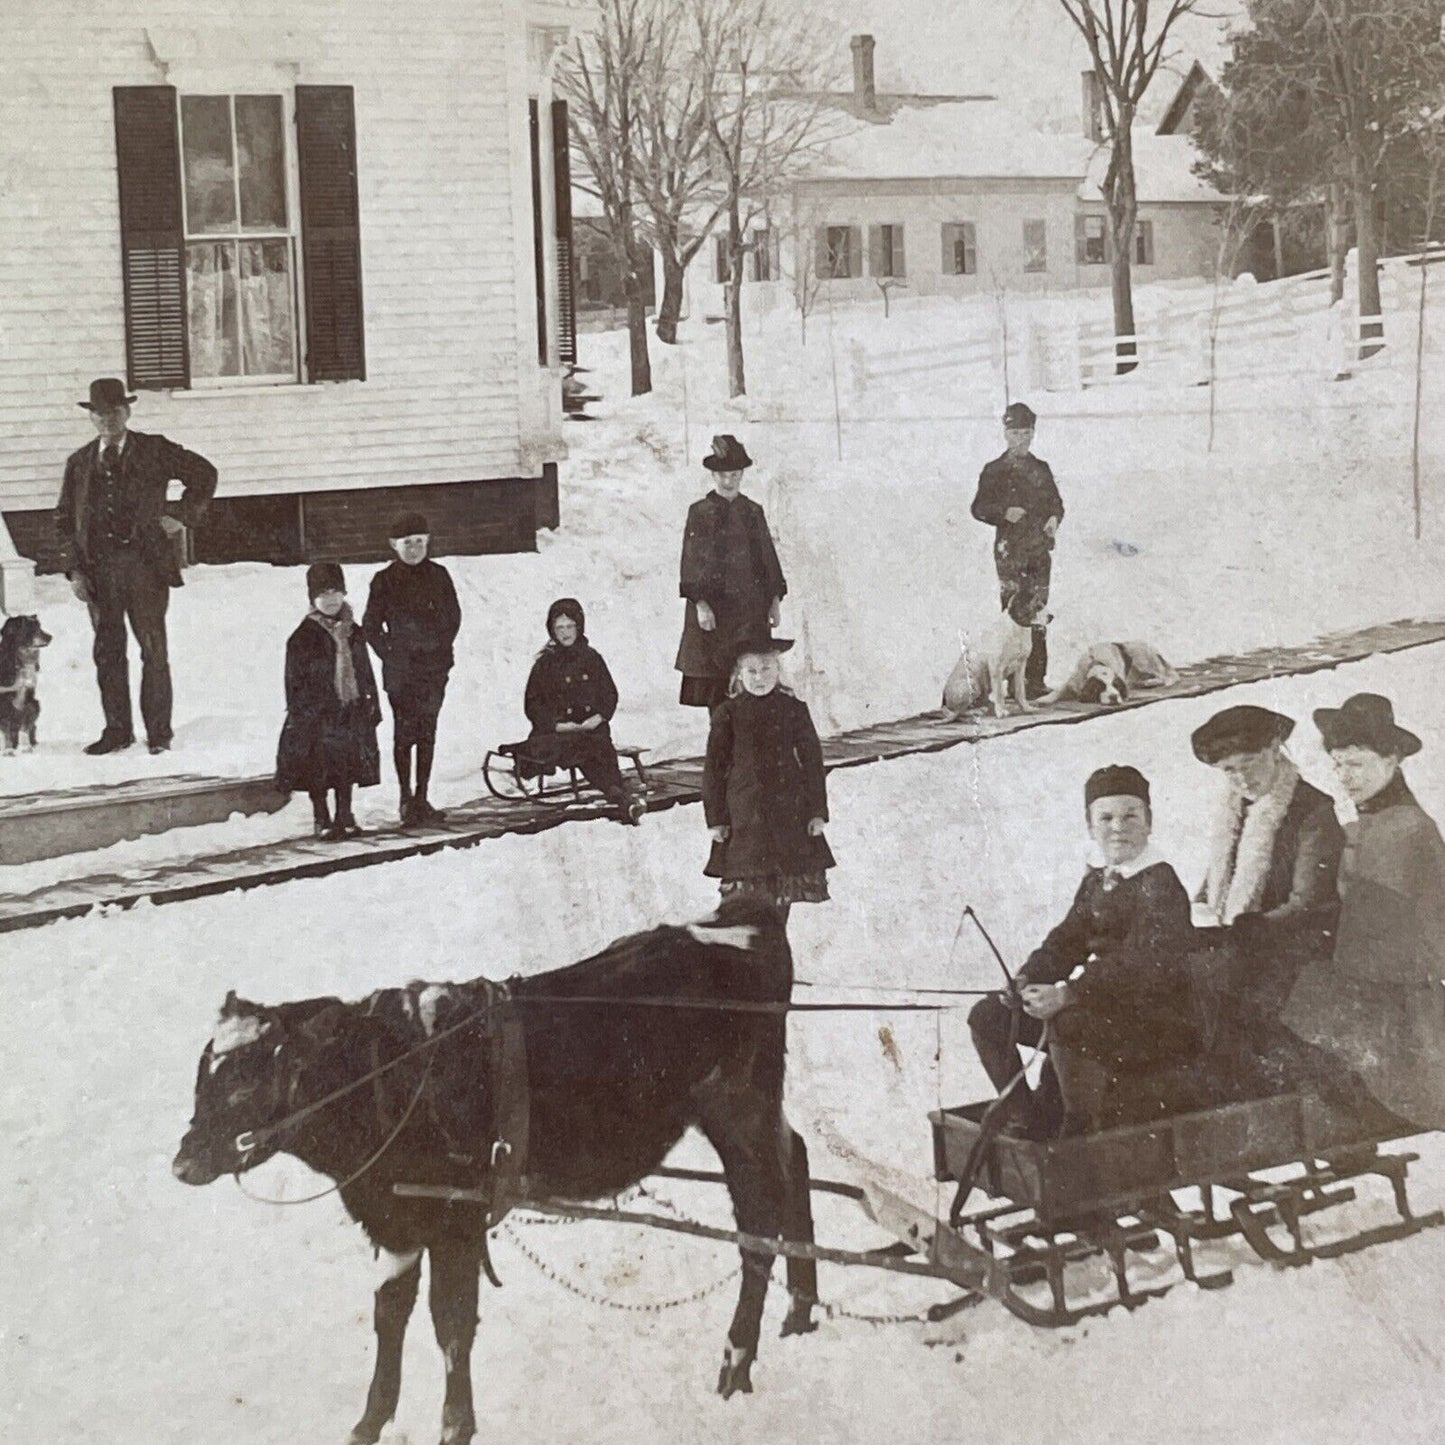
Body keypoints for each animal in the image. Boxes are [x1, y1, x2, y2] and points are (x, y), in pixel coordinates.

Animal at [0, 615, 52, 757]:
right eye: (31, 629)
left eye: (39, 626)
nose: (50, 637)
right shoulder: (4, 700)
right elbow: (5, 729)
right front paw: (8, 749)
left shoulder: (28, 698)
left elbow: (25, 726)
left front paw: (25, 747)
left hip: (36, 703)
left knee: (31, 727)